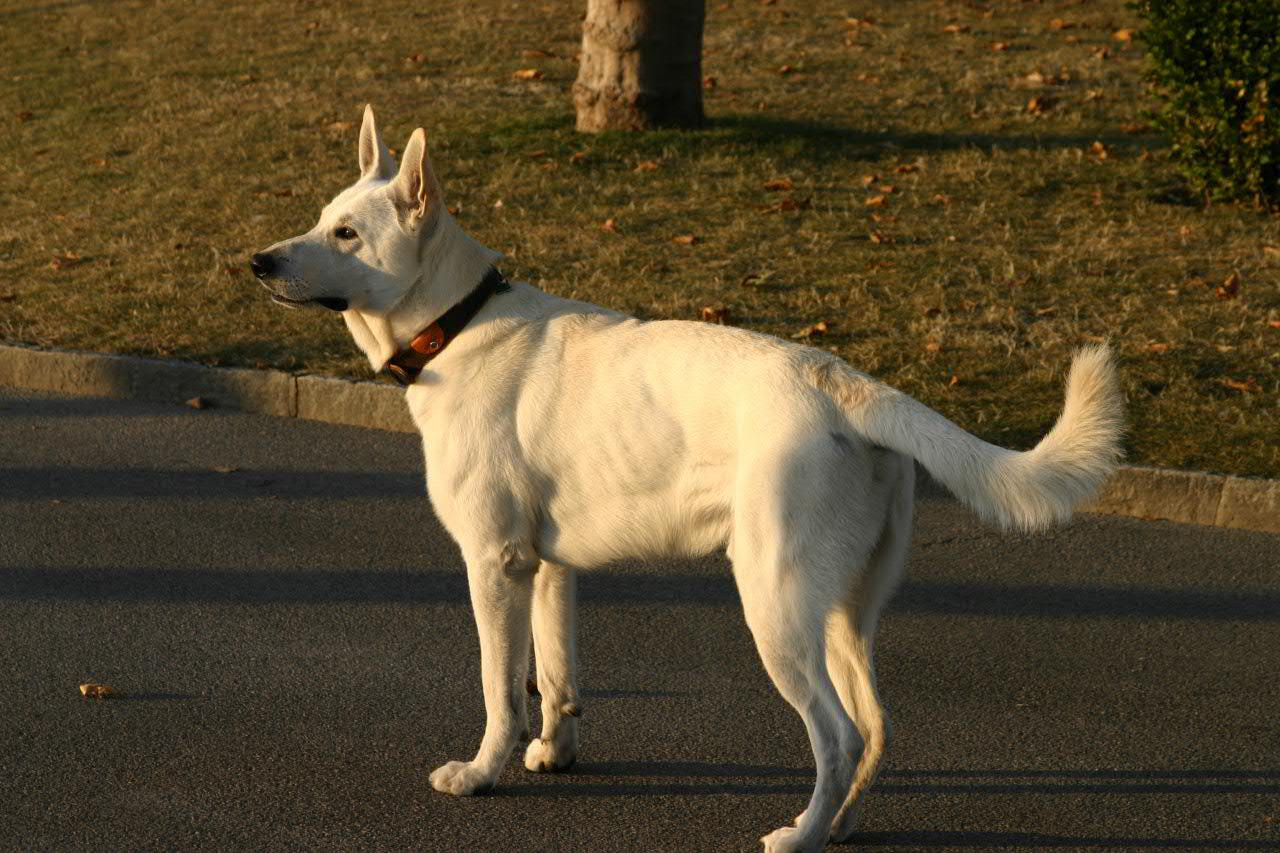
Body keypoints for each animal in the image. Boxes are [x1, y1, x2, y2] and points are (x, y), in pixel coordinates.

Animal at [249, 108, 1121, 850]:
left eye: (347, 232)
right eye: (321, 218)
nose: (256, 261)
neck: (456, 323)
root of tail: (844, 381)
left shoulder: (495, 565)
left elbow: (500, 685)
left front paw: (481, 772)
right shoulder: (549, 570)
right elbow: (554, 676)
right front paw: (553, 750)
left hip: (774, 605)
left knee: (837, 734)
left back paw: (801, 833)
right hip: (845, 613)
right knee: (874, 727)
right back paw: (838, 823)